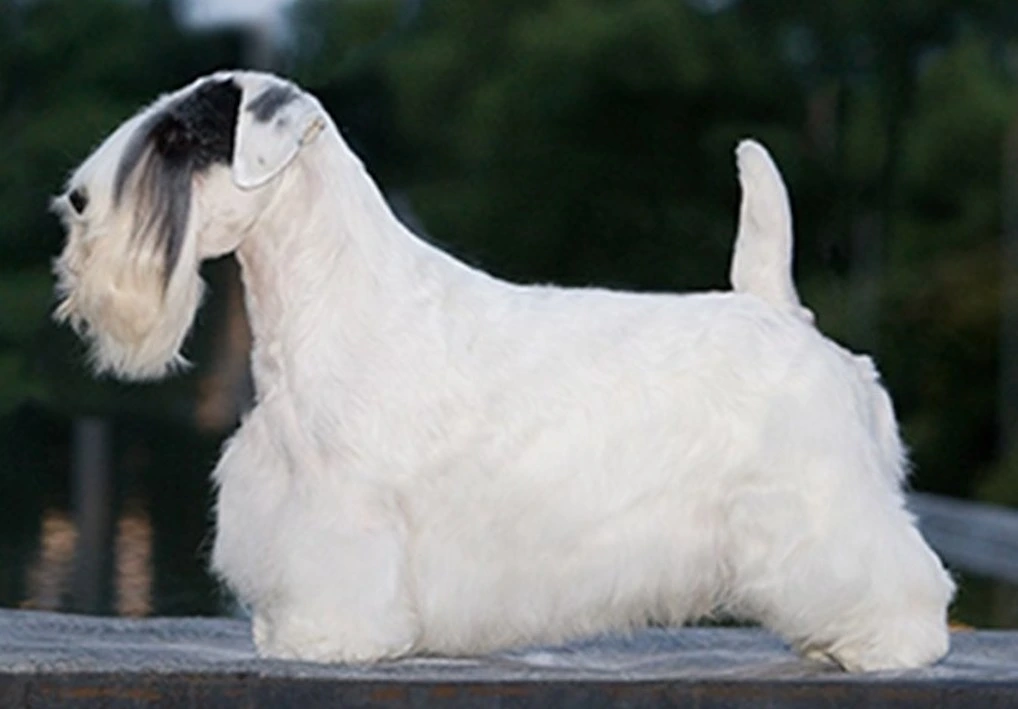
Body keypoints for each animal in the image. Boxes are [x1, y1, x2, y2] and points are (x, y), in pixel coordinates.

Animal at [49, 70, 952, 668]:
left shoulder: (347, 504)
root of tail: (780, 311)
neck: (332, 294)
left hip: (822, 503)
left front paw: (322, 637)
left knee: (894, 572)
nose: (76, 203)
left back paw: (890, 641)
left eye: (178, 137)